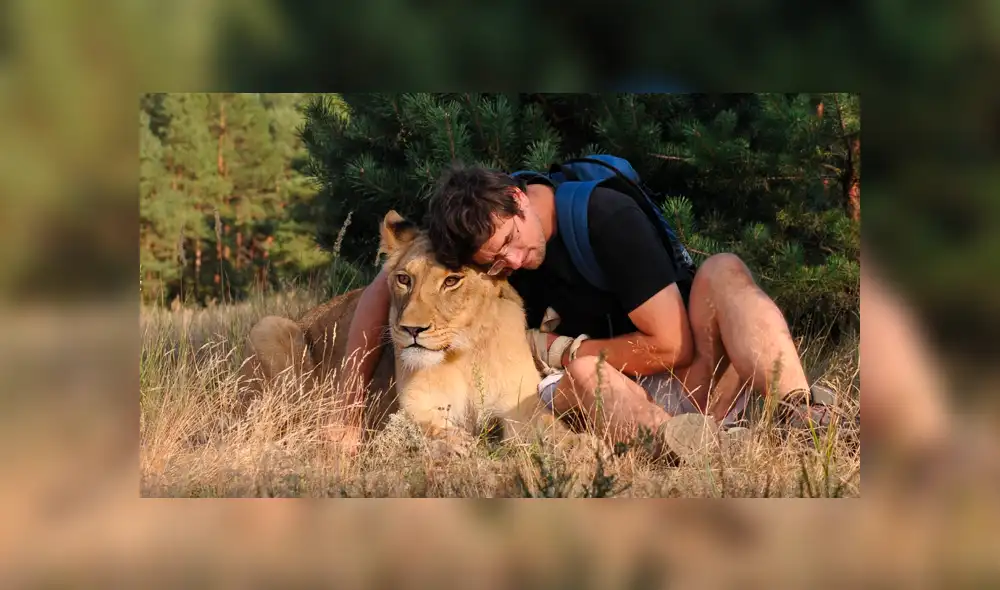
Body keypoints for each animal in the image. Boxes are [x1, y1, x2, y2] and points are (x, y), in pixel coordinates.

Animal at [239, 210, 562, 449]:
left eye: (452, 280)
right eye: (404, 279)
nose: (411, 329)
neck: (464, 354)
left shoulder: (519, 404)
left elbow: (555, 431)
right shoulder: (416, 405)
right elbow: (437, 431)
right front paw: (463, 447)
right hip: (269, 328)